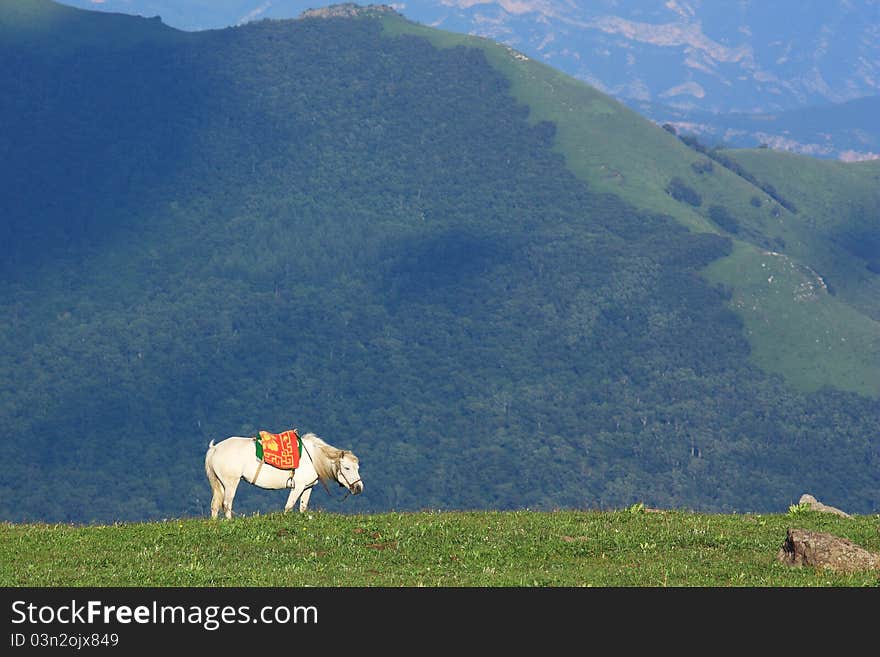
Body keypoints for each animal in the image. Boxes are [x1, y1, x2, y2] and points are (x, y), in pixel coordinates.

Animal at [205, 430, 362, 516]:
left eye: (357, 467)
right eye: (347, 468)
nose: (359, 487)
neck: (313, 457)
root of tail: (215, 448)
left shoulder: (307, 487)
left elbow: (303, 507)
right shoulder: (298, 487)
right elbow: (289, 506)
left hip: (220, 483)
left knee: (215, 505)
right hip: (231, 482)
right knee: (227, 503)